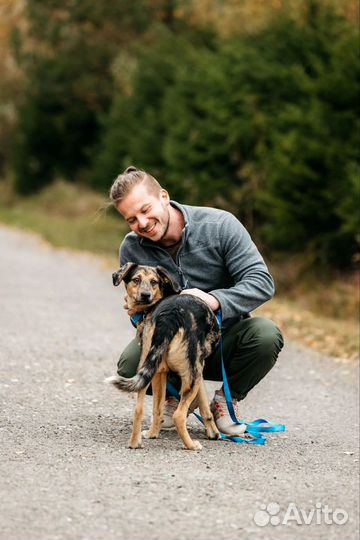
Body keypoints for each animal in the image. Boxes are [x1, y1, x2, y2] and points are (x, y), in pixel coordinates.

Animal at [105, 262, 221, 452]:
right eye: (136, 279)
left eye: (154, 282)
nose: (146, 295)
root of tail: (171, 315)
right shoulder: (198, 372)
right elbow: (205, 406)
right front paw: (213, 432)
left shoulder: (160, 373)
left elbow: (157, 408)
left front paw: (153, 433)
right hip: (193, 373)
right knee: (179, 415)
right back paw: (191, 445)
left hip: (146, 366)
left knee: (139, 409)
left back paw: (135, 443)